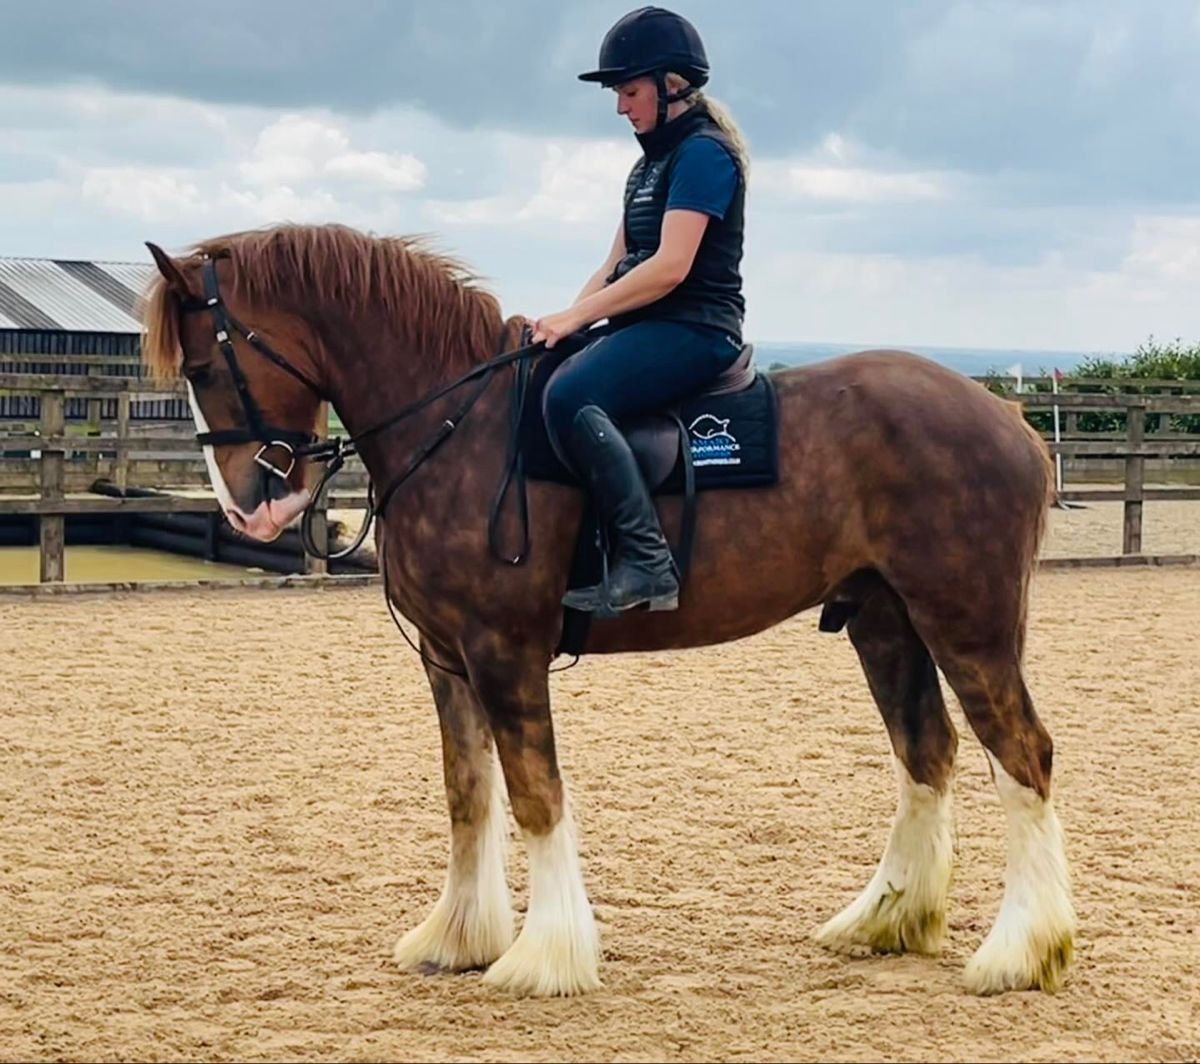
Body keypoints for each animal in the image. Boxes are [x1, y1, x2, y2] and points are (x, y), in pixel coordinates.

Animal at [140, 222, 1076, 998]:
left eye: (207, 369)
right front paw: (459, 938)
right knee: (928, 753)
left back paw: (1021, 952)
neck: (459, 423)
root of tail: (1010, 421)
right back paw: (888, 920)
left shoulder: (505, 651)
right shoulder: (446, 658)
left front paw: (545, 956)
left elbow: (534, 796)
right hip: (887, 621)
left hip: (966, 623)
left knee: (1021, 754)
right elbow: (467, 794)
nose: (253, 510)